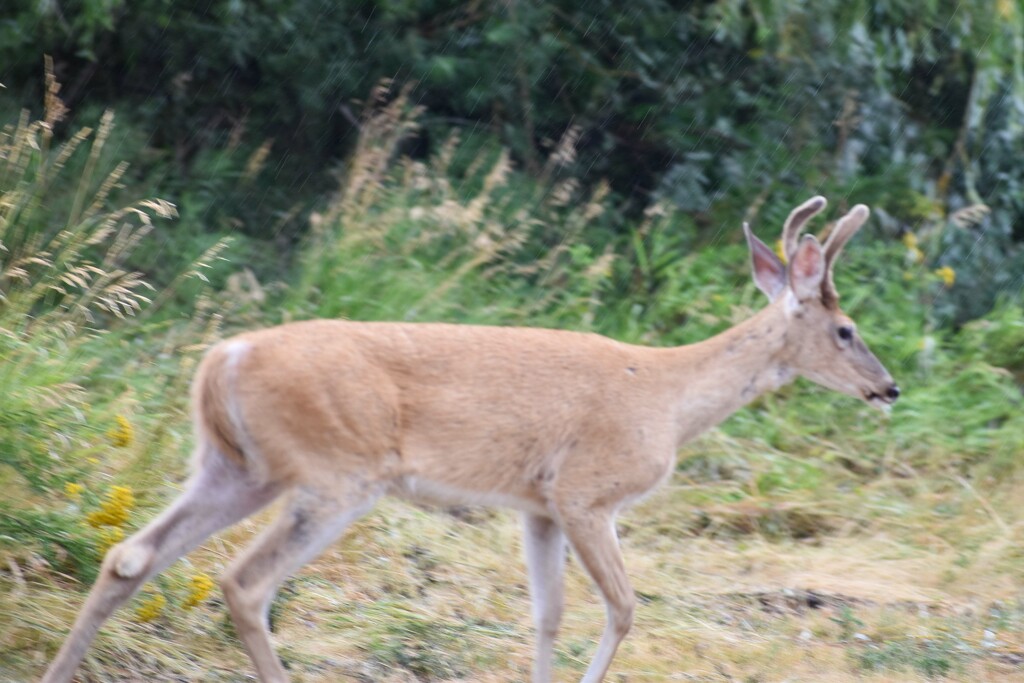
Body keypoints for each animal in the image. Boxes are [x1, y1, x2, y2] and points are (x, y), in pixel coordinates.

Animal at [44, 196, 901, 683]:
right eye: (847, 329)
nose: (889, 387)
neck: (666, 394)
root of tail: (224, 357)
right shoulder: (587, 491)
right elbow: (624, 608)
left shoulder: (538, 504)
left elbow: (548, 613)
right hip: (337, 472)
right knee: (245, 583)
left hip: (234, 466)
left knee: (130, 555)